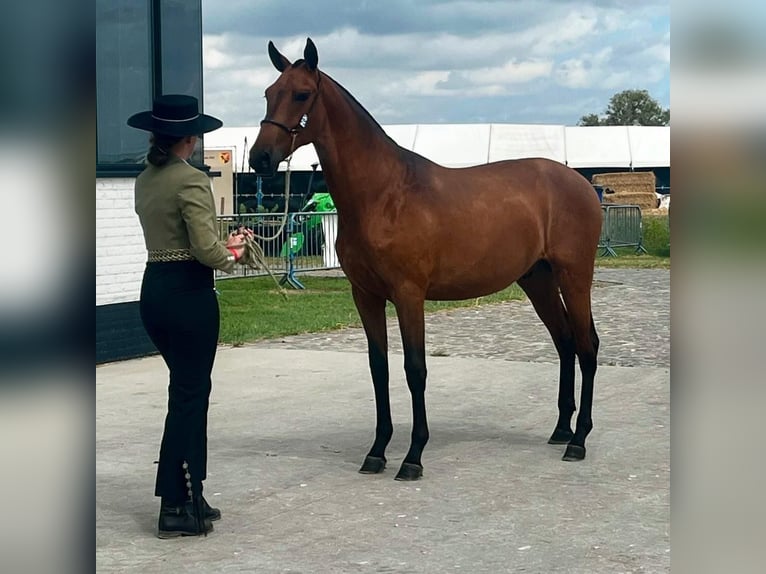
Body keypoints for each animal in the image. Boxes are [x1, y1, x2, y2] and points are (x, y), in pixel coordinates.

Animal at [249, 39, 604, 482]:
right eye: (268, 93)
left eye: (301, 94)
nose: (260, 158)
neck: (384, 193)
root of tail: (582, 183)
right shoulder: (365, 295)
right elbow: (379, 369)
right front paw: (377, 451)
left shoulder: (408, 295)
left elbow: (415, 369)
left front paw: (413, 456)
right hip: (537, 280)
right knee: (565, 341)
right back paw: (561, 430)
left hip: (574, 277)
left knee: (587, 346)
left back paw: (579, 440)